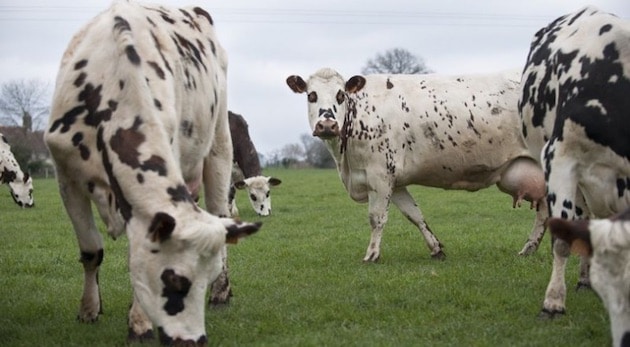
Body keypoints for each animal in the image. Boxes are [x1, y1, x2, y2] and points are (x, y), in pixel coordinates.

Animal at [45, 2, 262, 346]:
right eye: (174, 280)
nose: (193, 341)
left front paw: (138, 323)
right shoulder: (65, 177)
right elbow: (91, 251)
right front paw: (89, 310)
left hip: (219, 144)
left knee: (220, 213)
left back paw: (222, 293)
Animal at [288, 67, 552, 264]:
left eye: (341, 95)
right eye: (311, 95)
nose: (327, 125)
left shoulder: (380, 176)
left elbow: (376, 218)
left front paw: (372, 254)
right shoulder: (394, 182)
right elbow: (414, 214)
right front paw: (436, 248)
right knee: (545, 212)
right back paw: (529, 249)